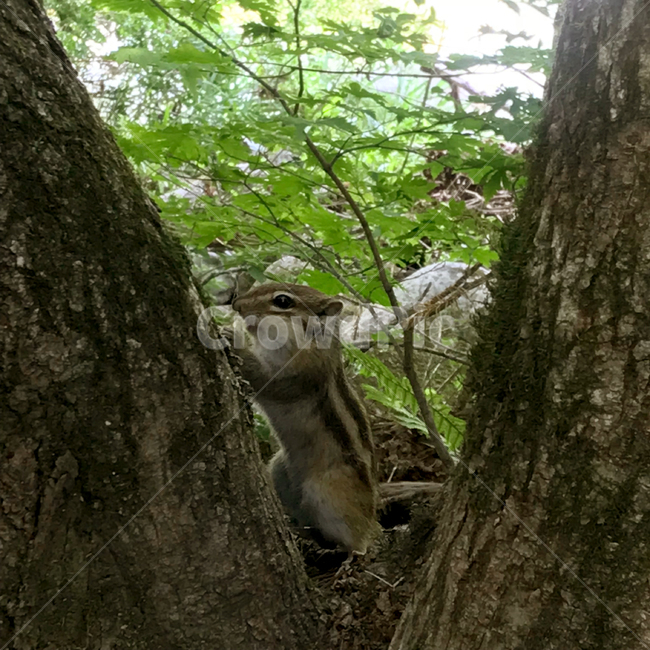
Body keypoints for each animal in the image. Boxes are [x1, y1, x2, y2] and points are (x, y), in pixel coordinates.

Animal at [230, 282, 379, 553]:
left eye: (282, 301)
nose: (236, 304)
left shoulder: (299, 371)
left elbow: (269, 380)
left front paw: (228, 338)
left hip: (326, 492)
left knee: (356, 540)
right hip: (279, 468)